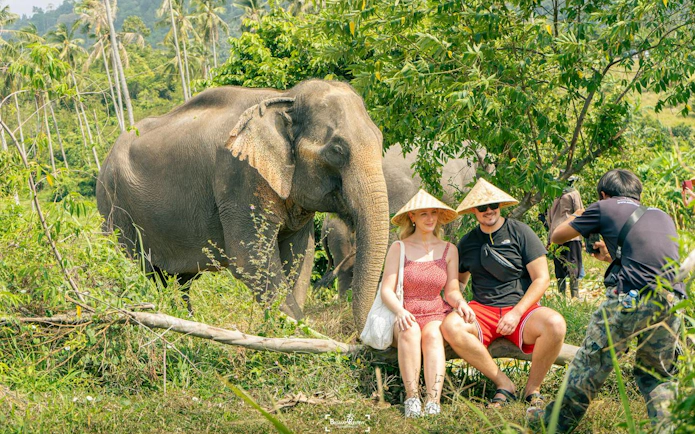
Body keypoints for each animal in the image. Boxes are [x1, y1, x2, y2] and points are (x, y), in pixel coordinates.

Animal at [96, 79, 389, 329]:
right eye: (337, 150)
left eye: (380, 139)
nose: (361, 338)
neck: (285, 98)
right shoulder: (239, 175)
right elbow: (250, 259)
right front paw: (299, 333)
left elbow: (300, 256)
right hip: (115, 208)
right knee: (136, 269)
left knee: (178, 281)